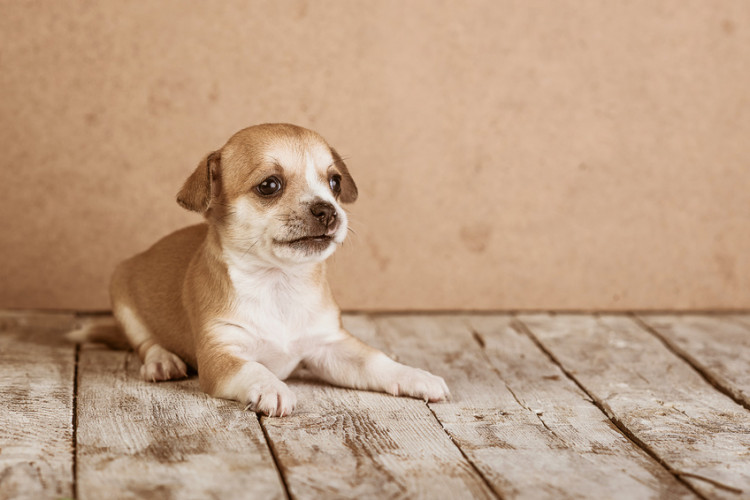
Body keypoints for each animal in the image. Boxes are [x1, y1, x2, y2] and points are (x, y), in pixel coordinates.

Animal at [75, 123, 450, 416]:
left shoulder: (331, 346)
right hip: (122, 292)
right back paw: (162, 361)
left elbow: (376, 362)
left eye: (335, 183)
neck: (278, 281)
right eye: (269, 185)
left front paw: (415, 375)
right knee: (144, 341)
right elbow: (252, 367)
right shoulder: (221, 357)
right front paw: (272, 387)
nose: (328, 210)